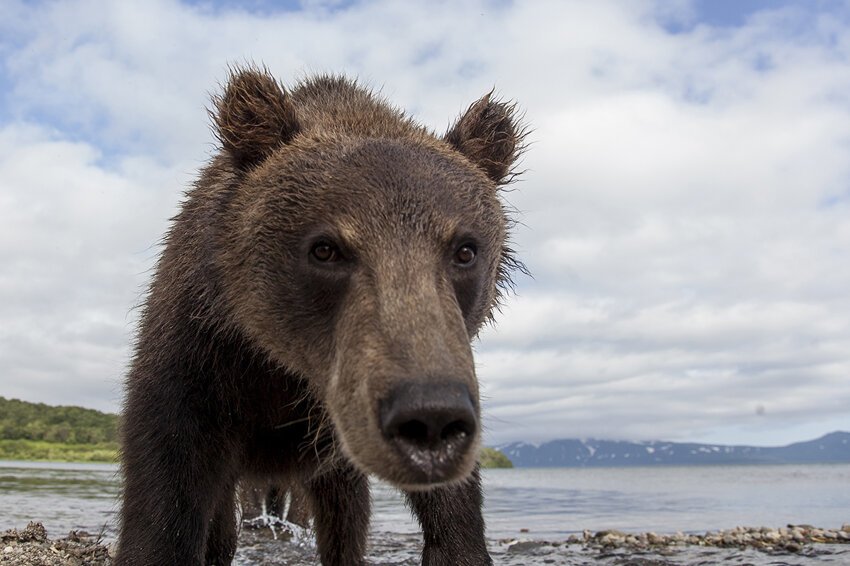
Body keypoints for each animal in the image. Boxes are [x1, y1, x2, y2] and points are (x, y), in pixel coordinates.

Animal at [116, 64, 520, 564]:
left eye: (465, 250)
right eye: (325, 249)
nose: (430, 417)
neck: (289, 371)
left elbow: (452, 512)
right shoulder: (199, 356)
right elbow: (165, 491)